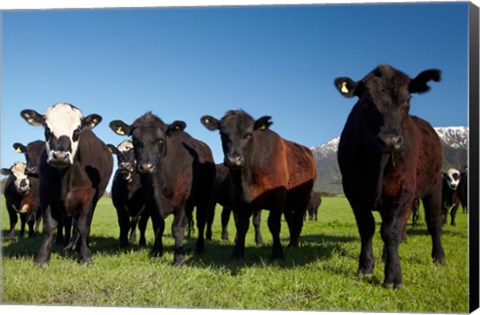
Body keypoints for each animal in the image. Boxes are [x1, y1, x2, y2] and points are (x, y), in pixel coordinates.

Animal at [21, 103, 114, 266]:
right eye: (47, 129)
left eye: (77, 131)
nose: (60, 156)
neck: (65, 178)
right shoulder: (46, 194)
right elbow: (49, 225)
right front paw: (42, 258)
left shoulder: (88, 197)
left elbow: (83, 226)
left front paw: (85, 257)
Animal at [110, 112, 216, 266]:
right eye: (135, 140)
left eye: (161, 140)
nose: (146, 167)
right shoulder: (152, 202)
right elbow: (158, 226)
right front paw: (157, 252)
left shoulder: (184, 201)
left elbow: (177, 228)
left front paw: (179, 259)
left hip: (204, 200)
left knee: (201, 223)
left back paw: (200, 247)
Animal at [201, 110, 316, 260]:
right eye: (223, 133)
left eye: (249, 134)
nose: (233, 160)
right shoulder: (240, 199)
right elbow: (242, 225)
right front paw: (237, 252)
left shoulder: (278, 198)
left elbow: (273, 224)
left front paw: (277, 253)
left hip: (303, 200)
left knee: (297, 221)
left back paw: (293, 245)